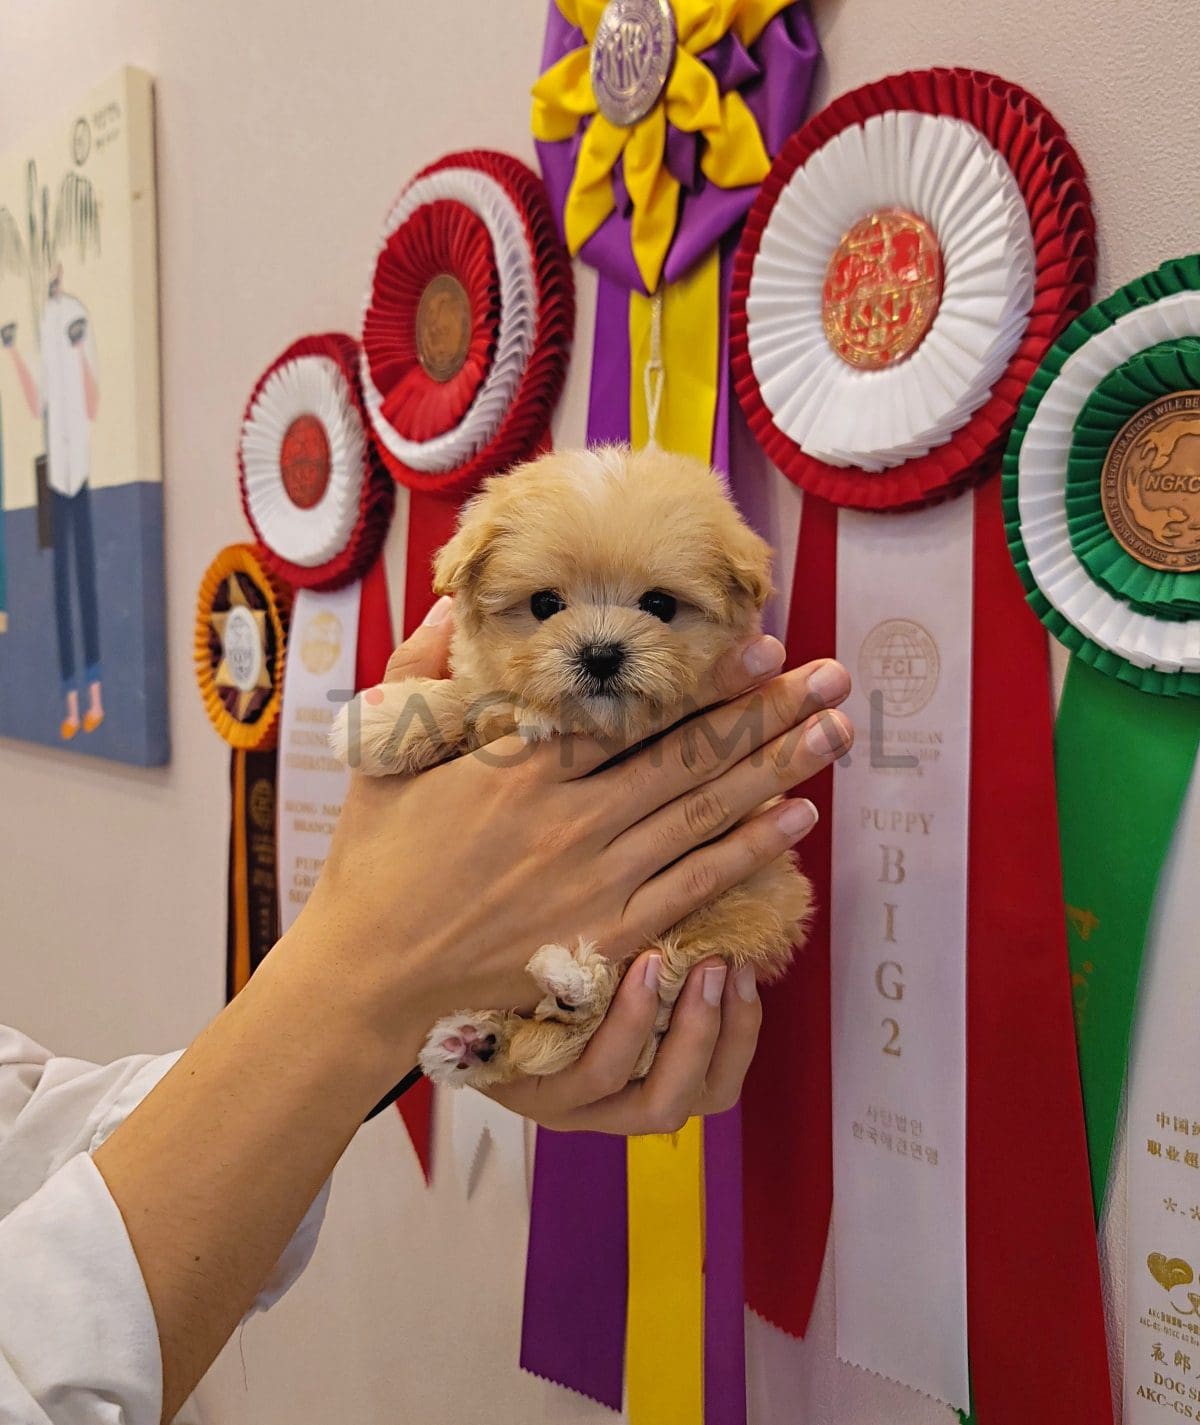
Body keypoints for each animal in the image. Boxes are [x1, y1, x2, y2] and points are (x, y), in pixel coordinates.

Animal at [331, 444, 812, 1088]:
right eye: (544, 604)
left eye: (659, 605)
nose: (601, 653)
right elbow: (472, 696)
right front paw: (383, 720)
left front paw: (529, 714)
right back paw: (475, 1040)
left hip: (735, 912)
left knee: (651, 989)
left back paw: (571, 985)